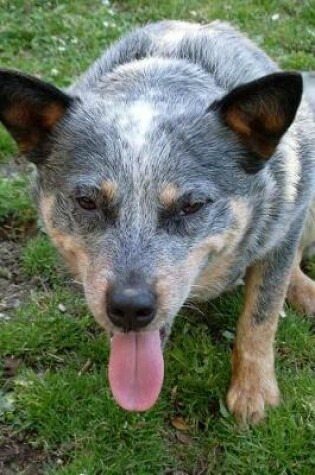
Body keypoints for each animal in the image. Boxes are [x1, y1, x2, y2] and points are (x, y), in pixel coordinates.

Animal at [0, 20, 315, 426]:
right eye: (87, 202)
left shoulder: (285, 226)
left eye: (191, 205)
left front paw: (253, 392)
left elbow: (260, 315)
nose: (130, 307)